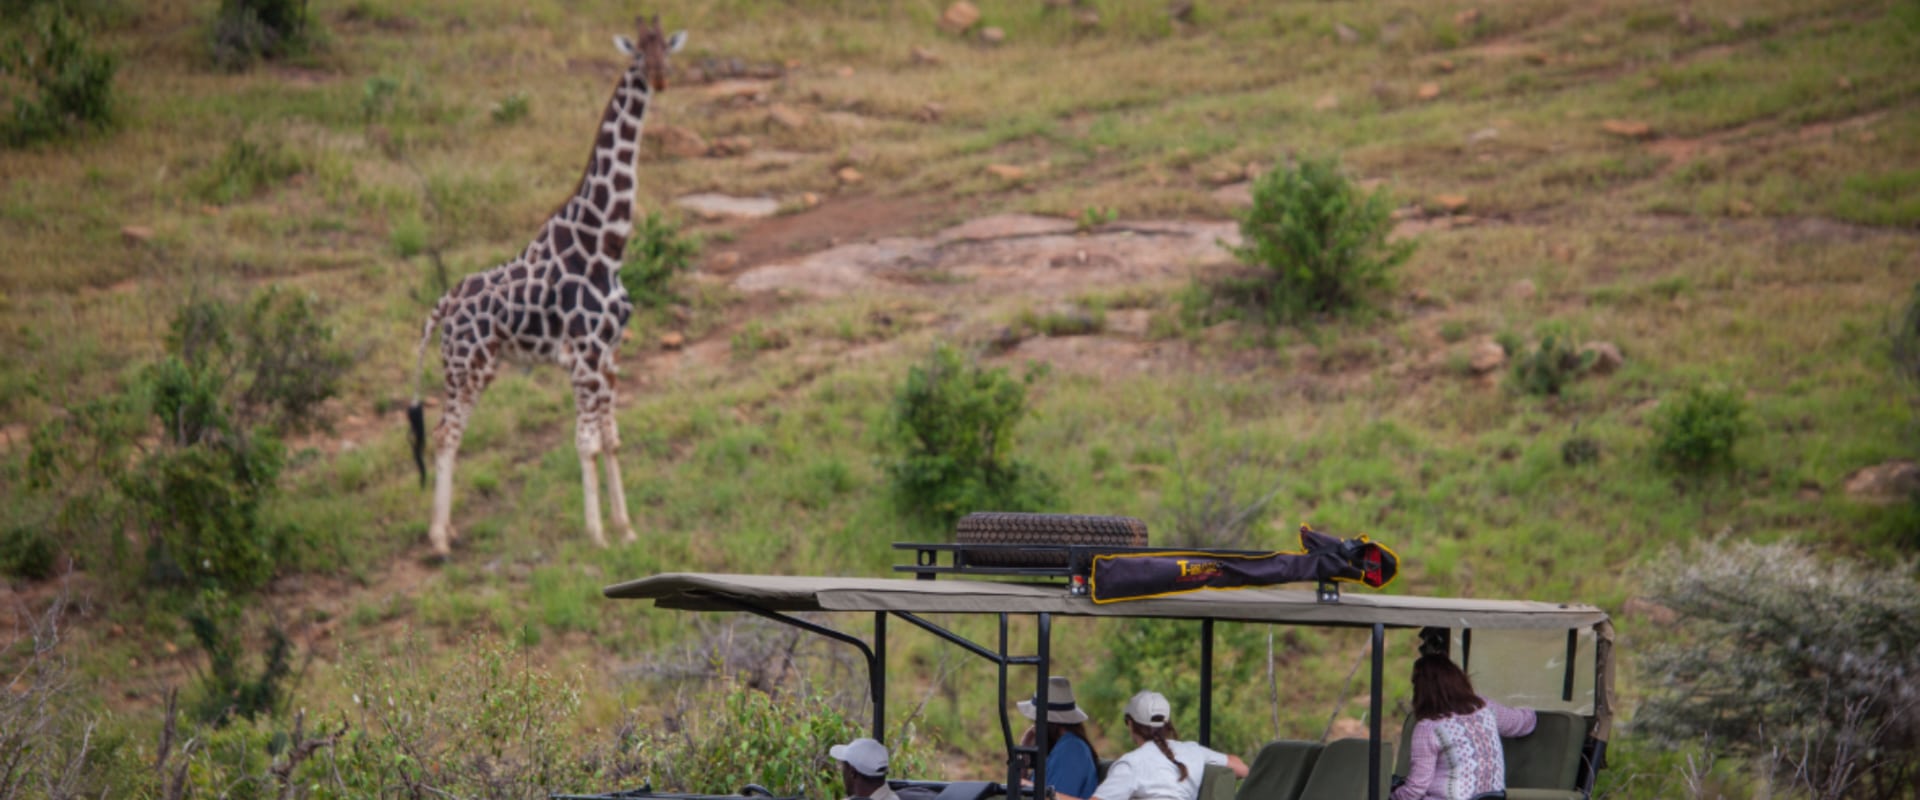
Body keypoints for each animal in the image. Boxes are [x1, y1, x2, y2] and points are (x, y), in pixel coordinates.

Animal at [401, 14, 687, 556]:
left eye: (668, 49)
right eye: (639, 53)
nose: (662, 79)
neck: (605, 244)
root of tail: (443, 304)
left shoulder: (609, 355)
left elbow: (611, 438)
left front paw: (626, 529)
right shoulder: (584, 358)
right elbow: (586, 442)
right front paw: (597, 536)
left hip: (475, 368)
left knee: (453, 433)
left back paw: (448, 530)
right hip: (466, 366)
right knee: (446, 434)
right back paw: (438, 540)